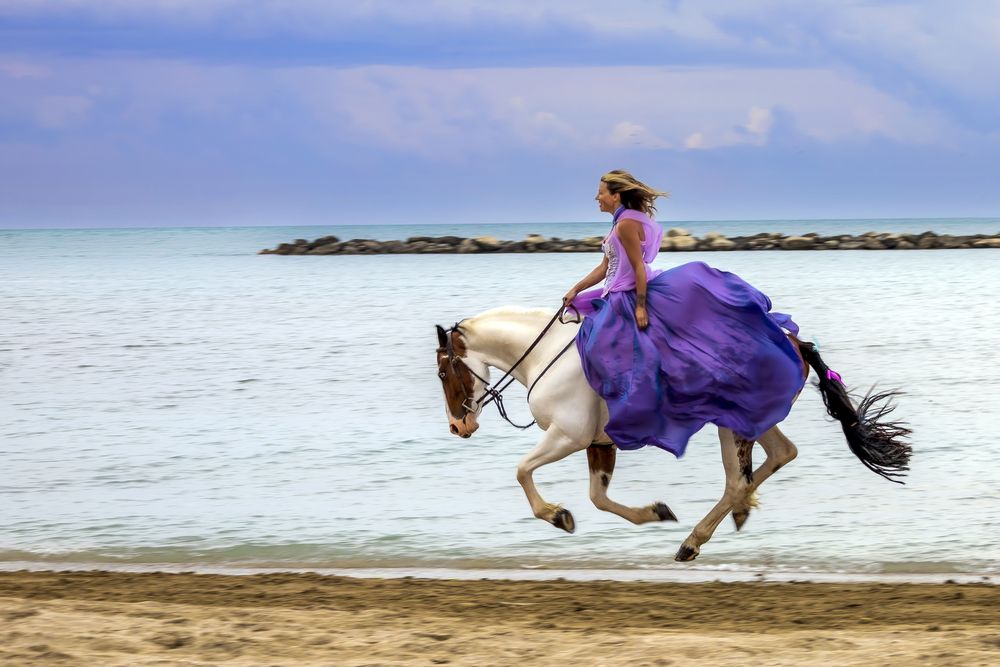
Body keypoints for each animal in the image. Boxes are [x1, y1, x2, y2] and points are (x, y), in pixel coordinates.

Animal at [435, 306, 911, 561]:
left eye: (442, 372)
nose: (458, 426)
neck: (546, 355)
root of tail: (795, 341)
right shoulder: (597, 443)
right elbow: (599, 497)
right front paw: (655, 512)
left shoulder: (567, 436)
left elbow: (522, 471)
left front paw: (556, 515)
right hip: (751, 420)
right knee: (779, 455)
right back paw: (736, 513)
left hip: (731, 423)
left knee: (739, 477)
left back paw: (694, 540)